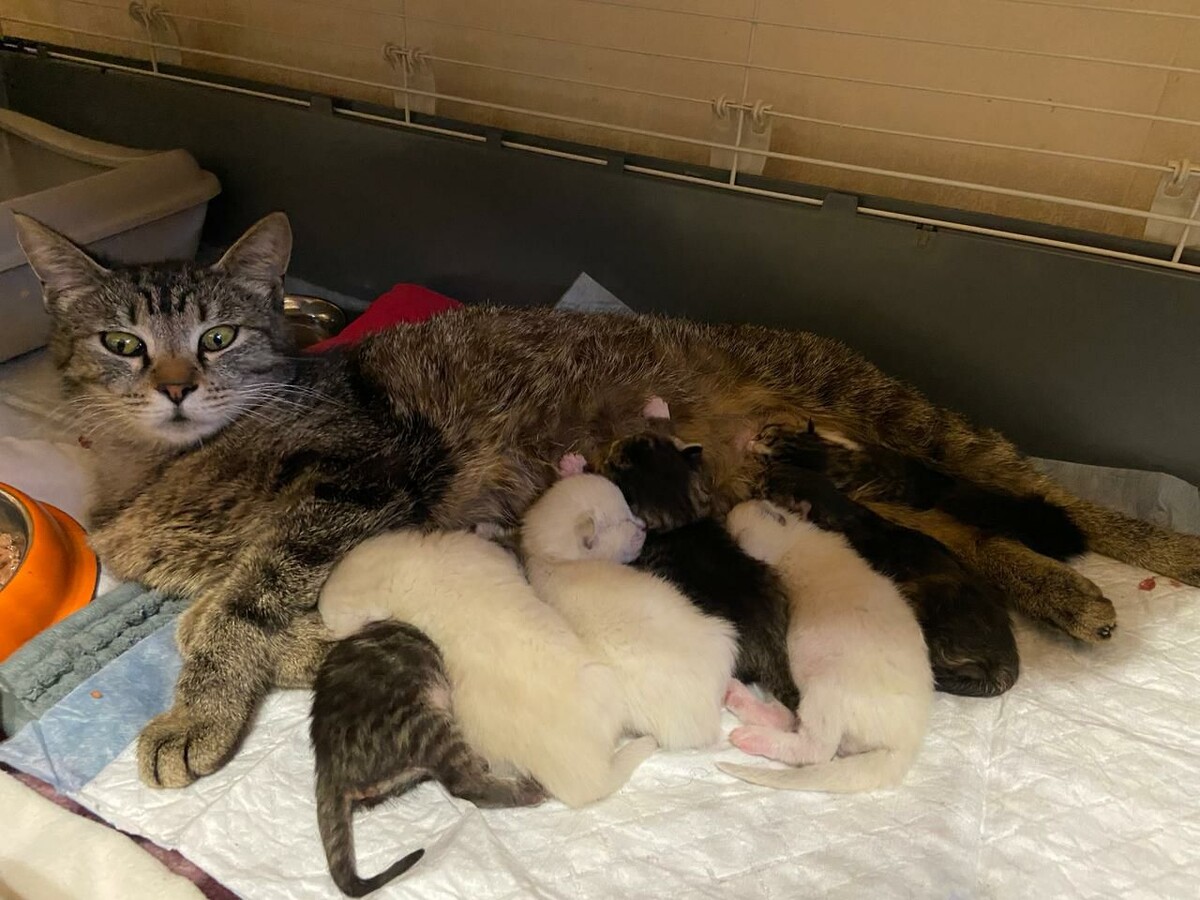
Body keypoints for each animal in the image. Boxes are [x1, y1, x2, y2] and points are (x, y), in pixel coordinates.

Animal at [719, 500, 934, 793]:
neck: (798, 537)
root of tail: (904, 746)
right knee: (790, 720)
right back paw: (737, 697)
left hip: (826, 694)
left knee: (814, 749)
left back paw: (751, 735)